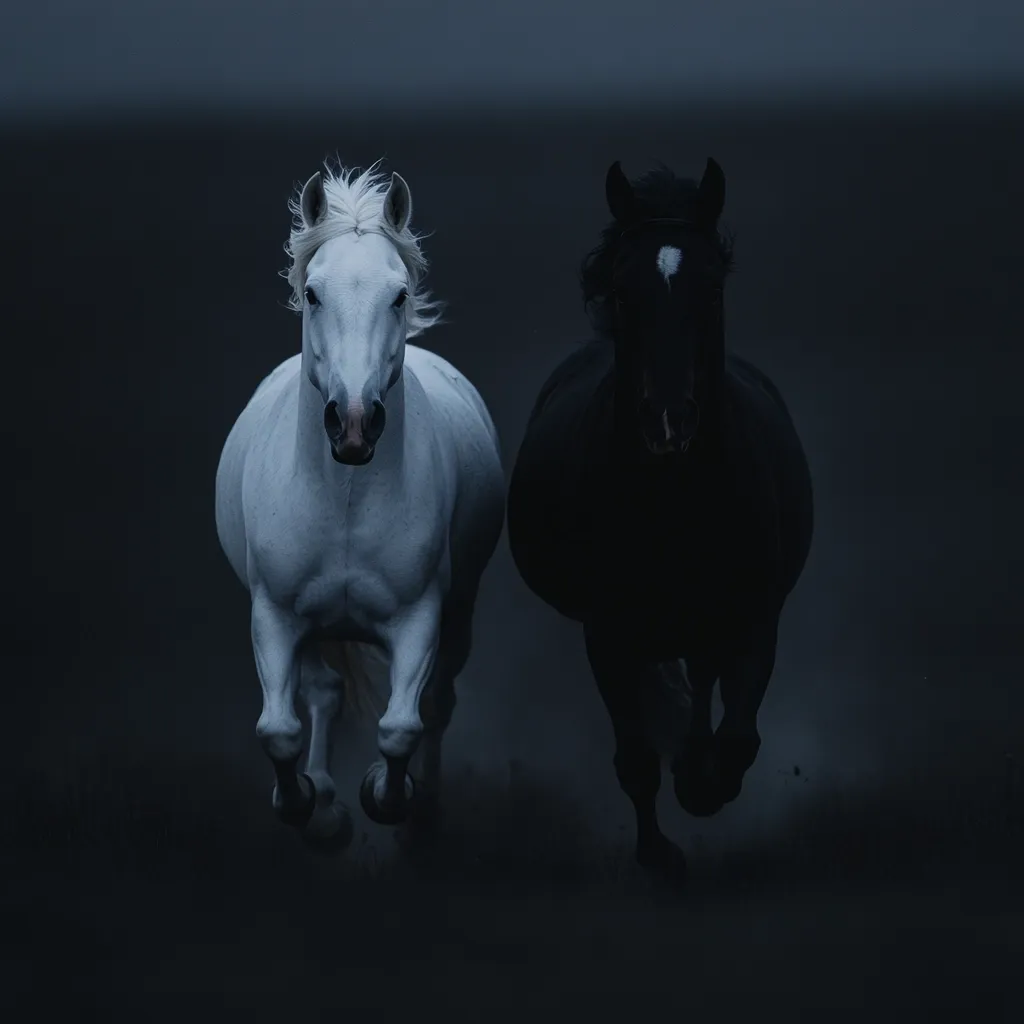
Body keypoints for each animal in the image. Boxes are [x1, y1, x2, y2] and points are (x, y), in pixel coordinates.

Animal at [215, 162, 506, 847]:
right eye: (313, 294)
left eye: (398, 295)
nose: (352, 424)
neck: (346, 498)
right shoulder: (274, 617)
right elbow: (279, 729)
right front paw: (307, 806)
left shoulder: (421, 618)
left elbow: (403, 725)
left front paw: (386, 795)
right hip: (317, 629)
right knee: (323, 693)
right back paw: (323, 800)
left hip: (459, 612)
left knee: (436, 704)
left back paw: (423, 808)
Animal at [506, 158, 814, 881]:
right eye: (623, 290)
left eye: (713, 287)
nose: (669, 421)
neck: (678, 501)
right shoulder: (609, 633)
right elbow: (637, 759)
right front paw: (661, 852)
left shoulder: (754, 618)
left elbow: (739, 736)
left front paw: (702, 784)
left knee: (702, 684)